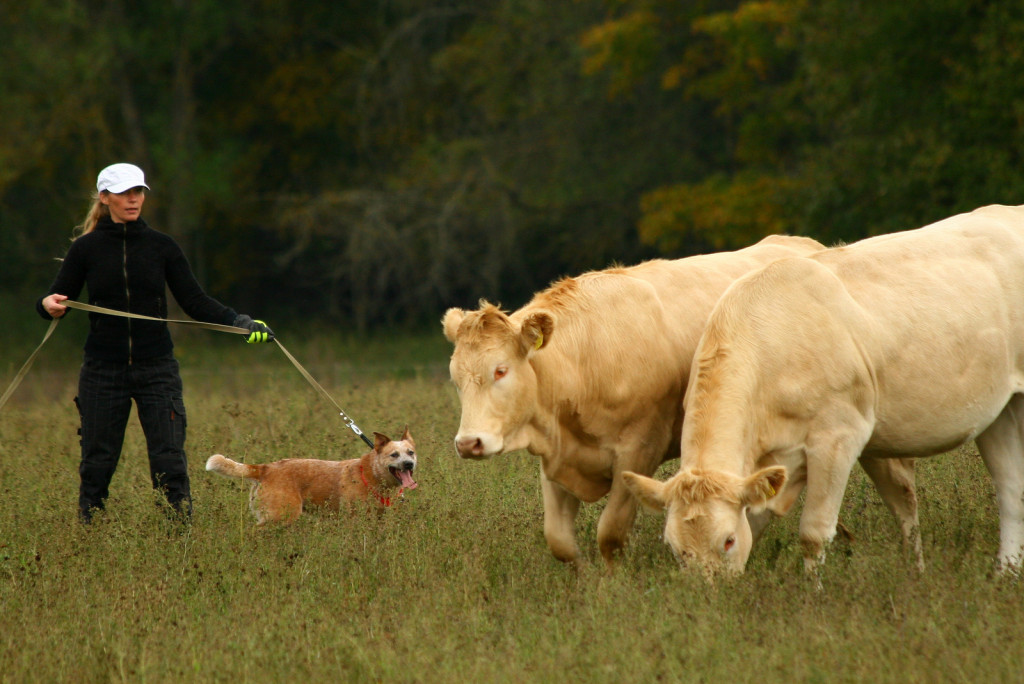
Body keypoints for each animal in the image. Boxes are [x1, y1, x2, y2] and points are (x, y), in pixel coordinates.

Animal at [203, 428, 415, 524]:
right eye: (394, 455)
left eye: (410, 452)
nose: (409, 464)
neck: (371, 475)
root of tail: (265, 468)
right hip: (280, 516)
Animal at [440, 235, 921, 565]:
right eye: (455, 378)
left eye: (501, 370)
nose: (468, 443)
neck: (586, 360)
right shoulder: (555, 457)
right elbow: (561, 543)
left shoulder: (639, 450)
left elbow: (609, 534)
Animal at [618, 204, 1024, 577]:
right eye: (675, 549)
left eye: (727, 541)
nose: (711, 597)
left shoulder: (837, 438)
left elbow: (813, 534)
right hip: (999, 410)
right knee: (1010, 488)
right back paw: (1006, 572)